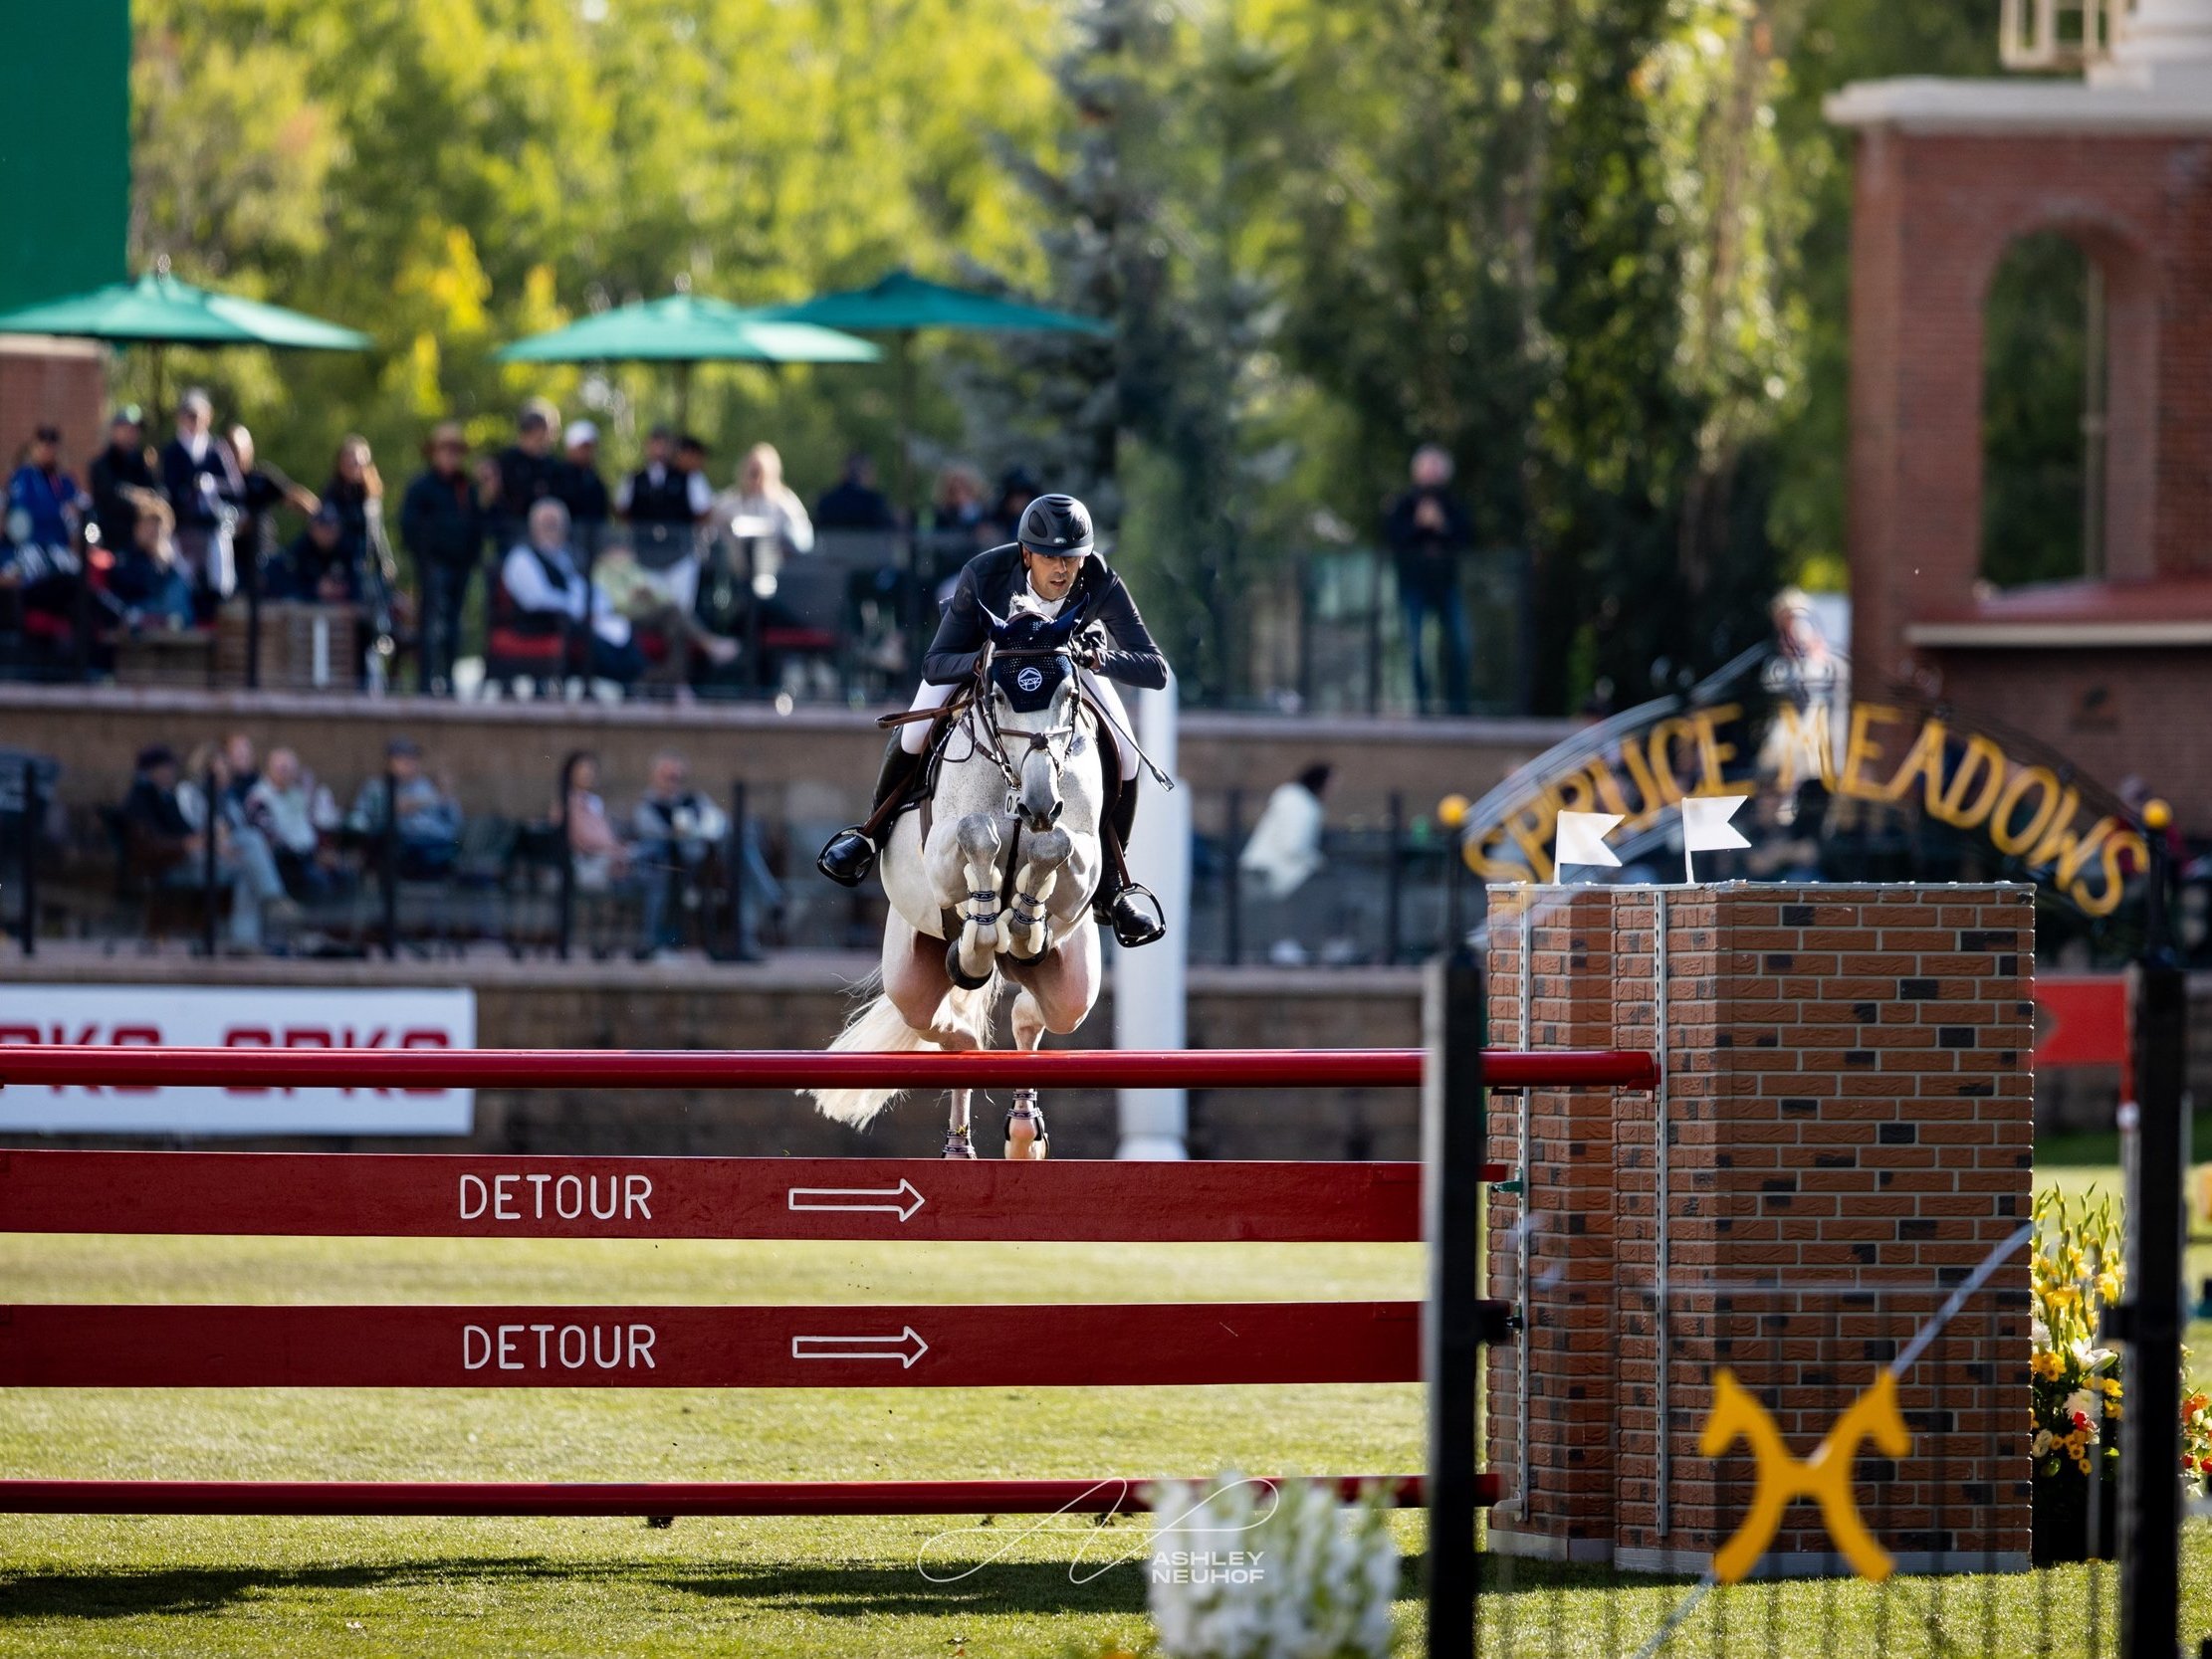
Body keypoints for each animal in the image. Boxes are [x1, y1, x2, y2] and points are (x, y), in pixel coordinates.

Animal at [809, 654, 1106, 1158]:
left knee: (1039, 1014)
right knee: (948, 1028)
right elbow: (976, 831)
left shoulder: (1082, 857)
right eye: (999, 696)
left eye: (1069, 694)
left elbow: (1056, 845)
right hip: (911, 975)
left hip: (1071, 981)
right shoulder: (942, 853)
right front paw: (981, 938)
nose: (1040, 804)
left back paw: (1023, 1132)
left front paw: (1024, 923)